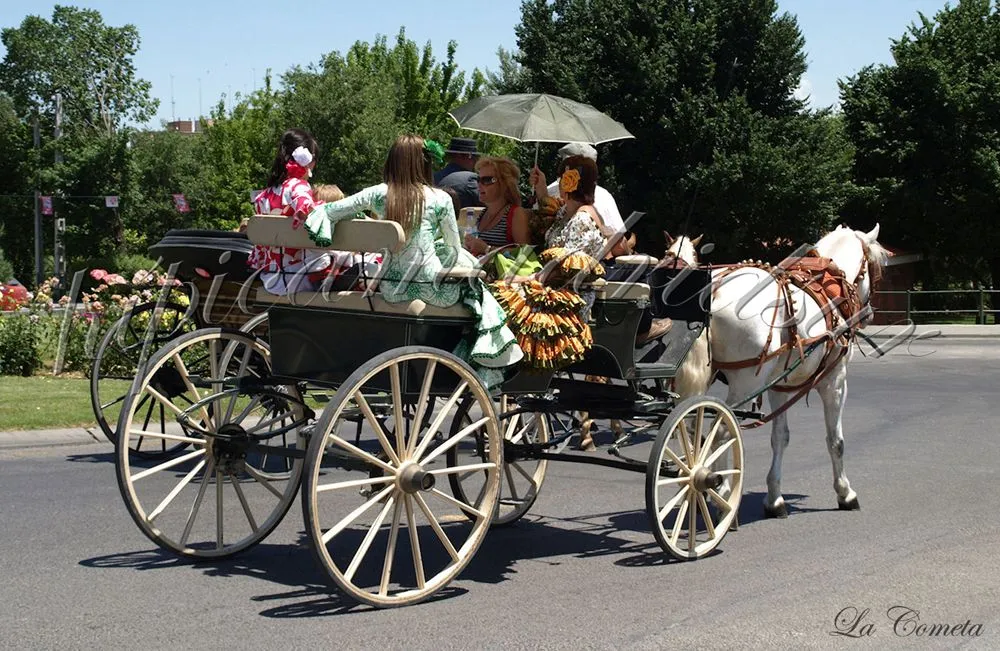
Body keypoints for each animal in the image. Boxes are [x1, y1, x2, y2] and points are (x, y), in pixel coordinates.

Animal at [668, 225, 888, 520]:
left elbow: (780, 438)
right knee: (722, 431)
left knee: (693, 428)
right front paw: (845, 493)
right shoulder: (835, 381)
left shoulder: (778, 386)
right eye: (876, 268)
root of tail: (714, 290)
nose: (869, 314)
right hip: (747, 383)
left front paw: (775, 498)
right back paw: (721, 493)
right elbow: (836, 441)